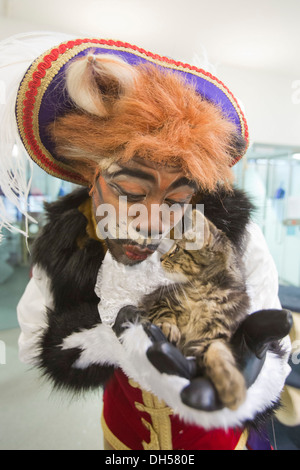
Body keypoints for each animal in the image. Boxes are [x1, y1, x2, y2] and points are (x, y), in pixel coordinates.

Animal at [139, 210, 250, 412]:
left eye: (177, 249)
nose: (161, 258)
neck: (206, 294)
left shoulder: (212, 336)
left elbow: (217, 352)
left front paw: (232, 385)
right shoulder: (161, 300)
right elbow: (165, 314)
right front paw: (169, 328)